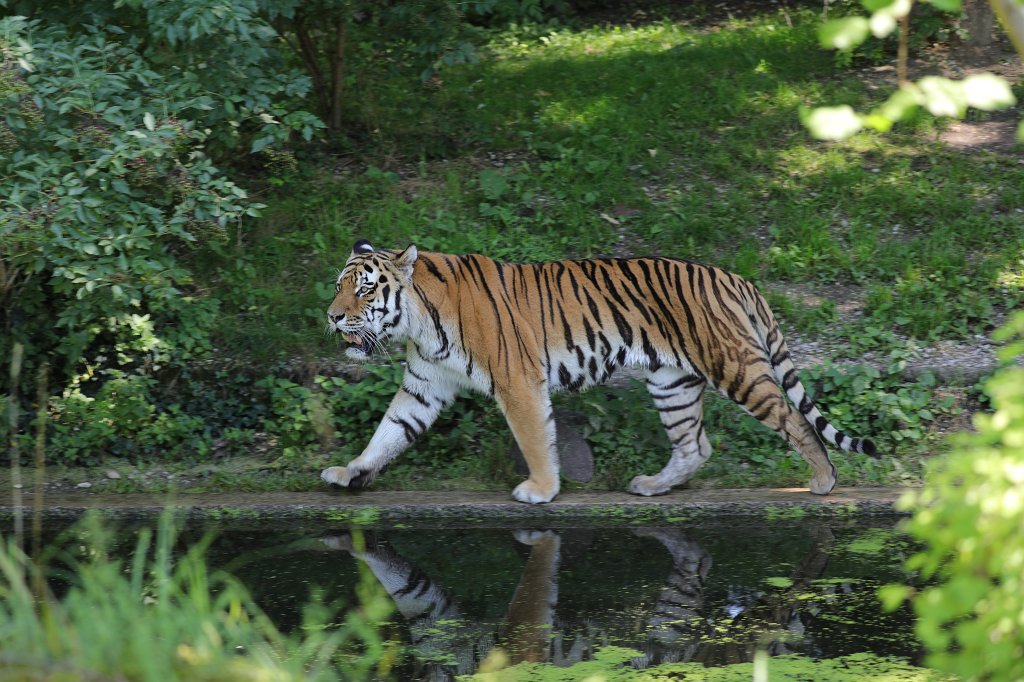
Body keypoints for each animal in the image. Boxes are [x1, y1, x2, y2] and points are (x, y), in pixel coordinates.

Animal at [321, 239, 877, 504]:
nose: (332, 316)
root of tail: (734, 277)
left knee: (794, 418)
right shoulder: (424, 385)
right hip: (671, 382)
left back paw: (824, 479)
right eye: (338, 286)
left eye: (365, 290)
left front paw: (541, 491)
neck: (419, 321)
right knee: (695, 445)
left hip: (736, 367)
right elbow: (388, 431)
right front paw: (351, 472)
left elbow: (534, 439)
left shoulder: (517, 381)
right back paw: (653, 485)